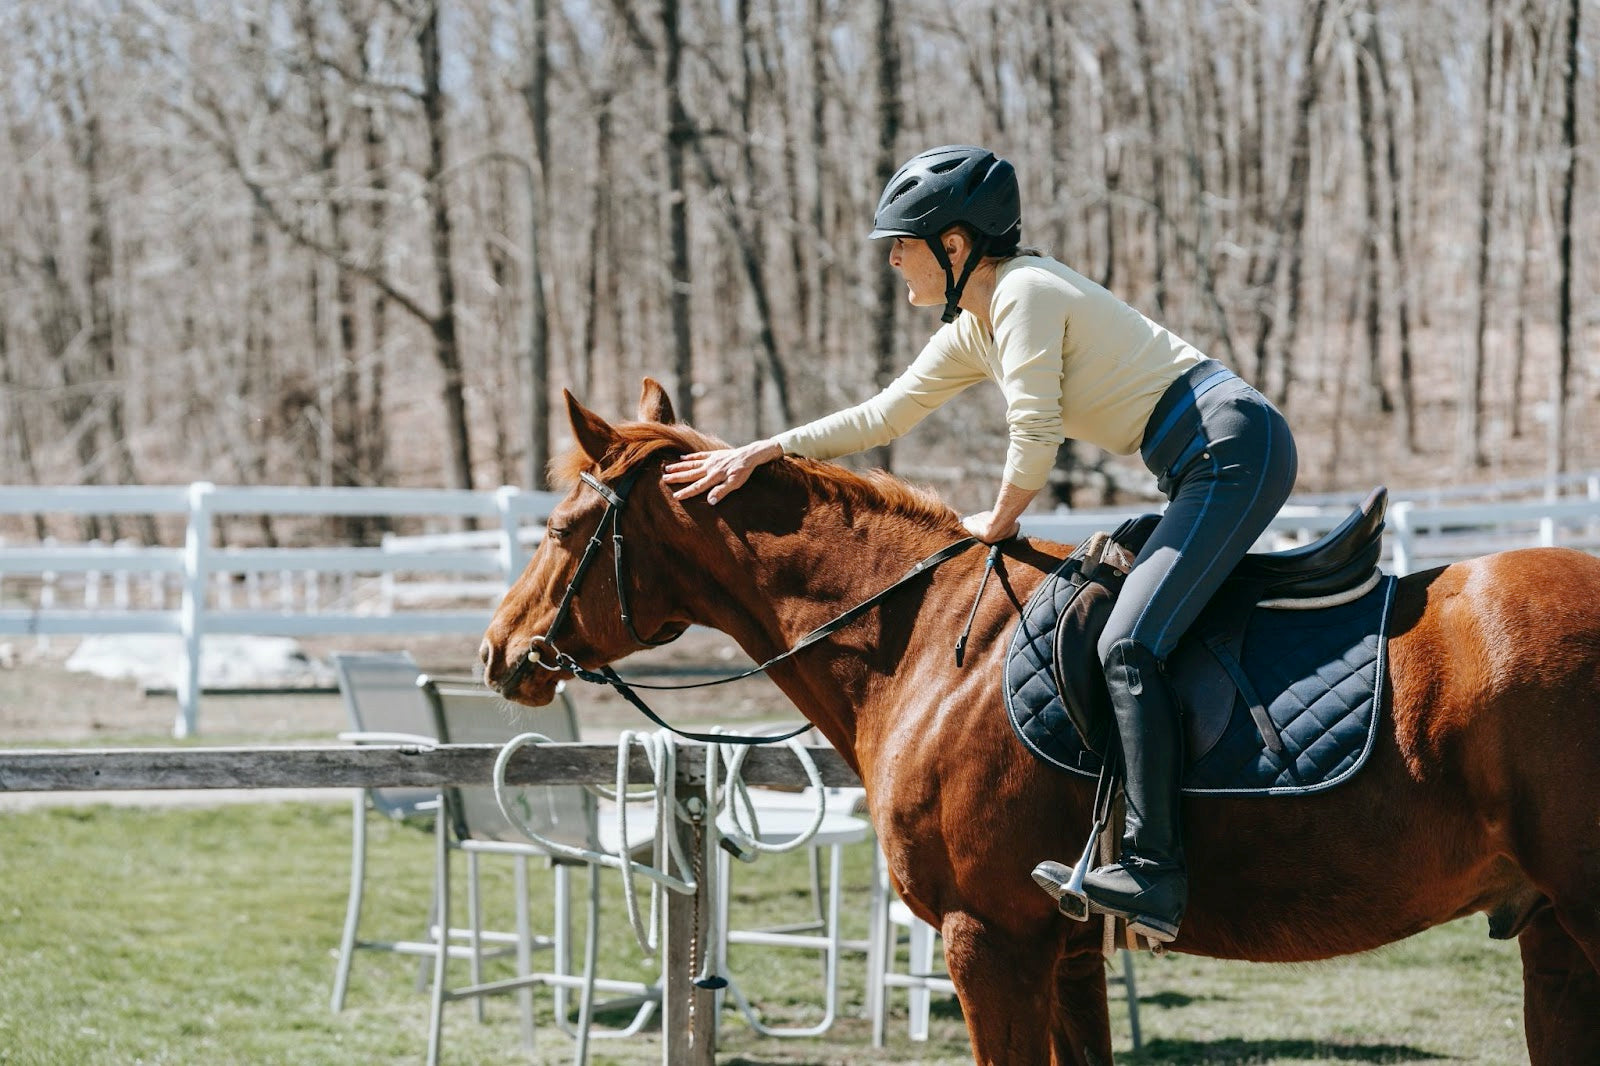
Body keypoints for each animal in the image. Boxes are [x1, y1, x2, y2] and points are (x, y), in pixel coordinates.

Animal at [480, 377, 1600, 1056]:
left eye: (563, 528)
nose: (498, 652)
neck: (930, 643)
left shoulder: (989, 942)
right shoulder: (1064, 953)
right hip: (1552, 936)